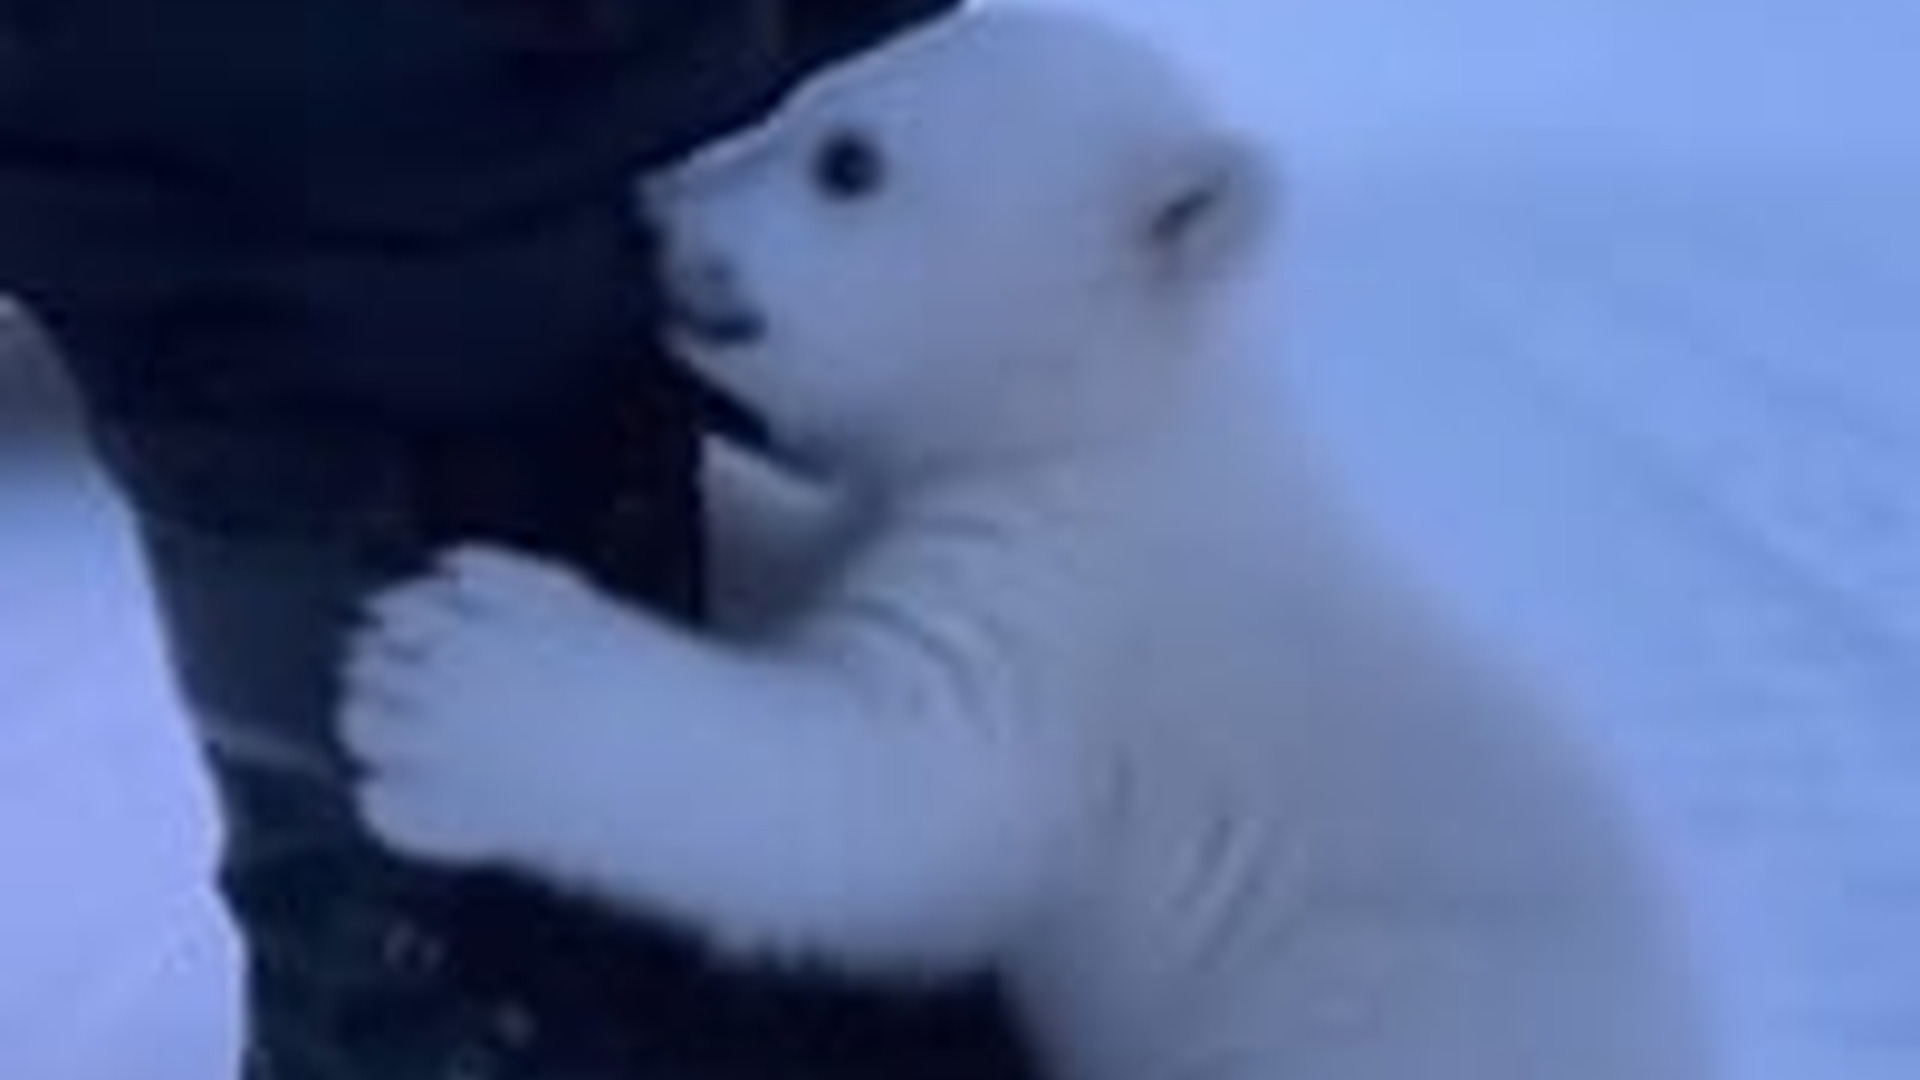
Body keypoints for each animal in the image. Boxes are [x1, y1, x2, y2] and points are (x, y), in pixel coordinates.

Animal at [339, 6, 1713, 1079]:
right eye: (798, 92)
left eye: (849, 162)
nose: (647, 211)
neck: (1113, 415)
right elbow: (814, 568)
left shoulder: (1078, 616)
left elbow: (895, 789)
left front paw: (452, 681)